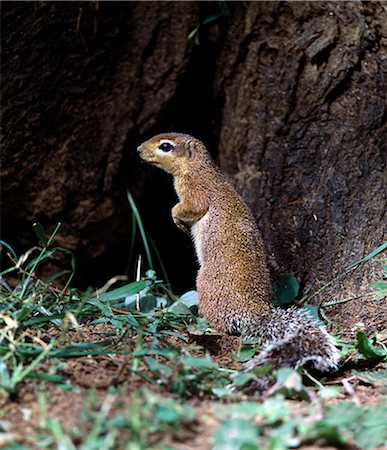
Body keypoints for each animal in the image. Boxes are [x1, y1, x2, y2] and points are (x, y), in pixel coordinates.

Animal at [138, 132, 342, 370]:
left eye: (166, 146)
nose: (138, 149)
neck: (197, 167)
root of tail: (253, 312)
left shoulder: (196, 190)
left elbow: (189, 207)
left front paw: (176, 218)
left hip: (205, 286)